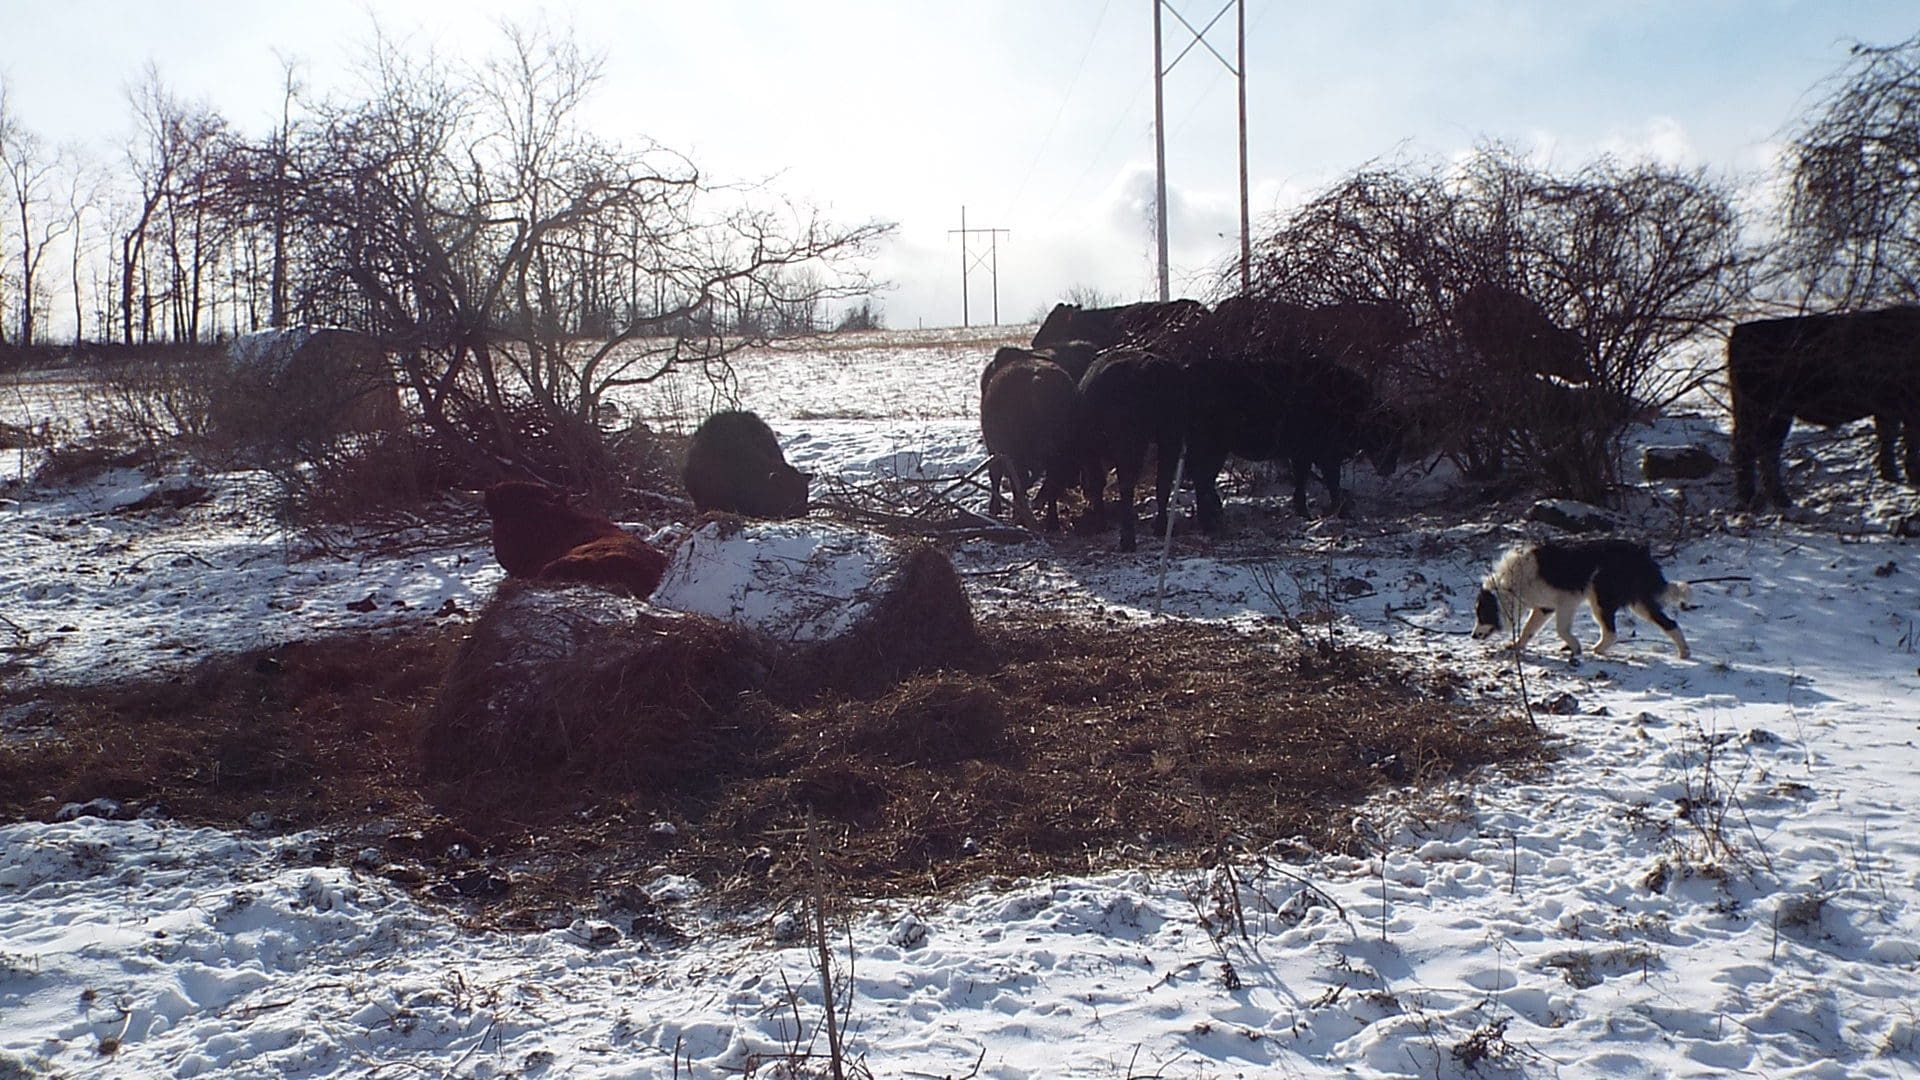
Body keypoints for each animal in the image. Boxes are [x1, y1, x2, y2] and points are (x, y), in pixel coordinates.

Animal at [1728, 303, 1920, 503]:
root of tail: (1740, 331)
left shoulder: (1889, 409)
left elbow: (1889, 439)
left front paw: (1892, 475)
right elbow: (1909, 442)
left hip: (1752, 412)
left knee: (1750, 447)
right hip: (1771, 412)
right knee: (1762, 449)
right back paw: (1776, 498)